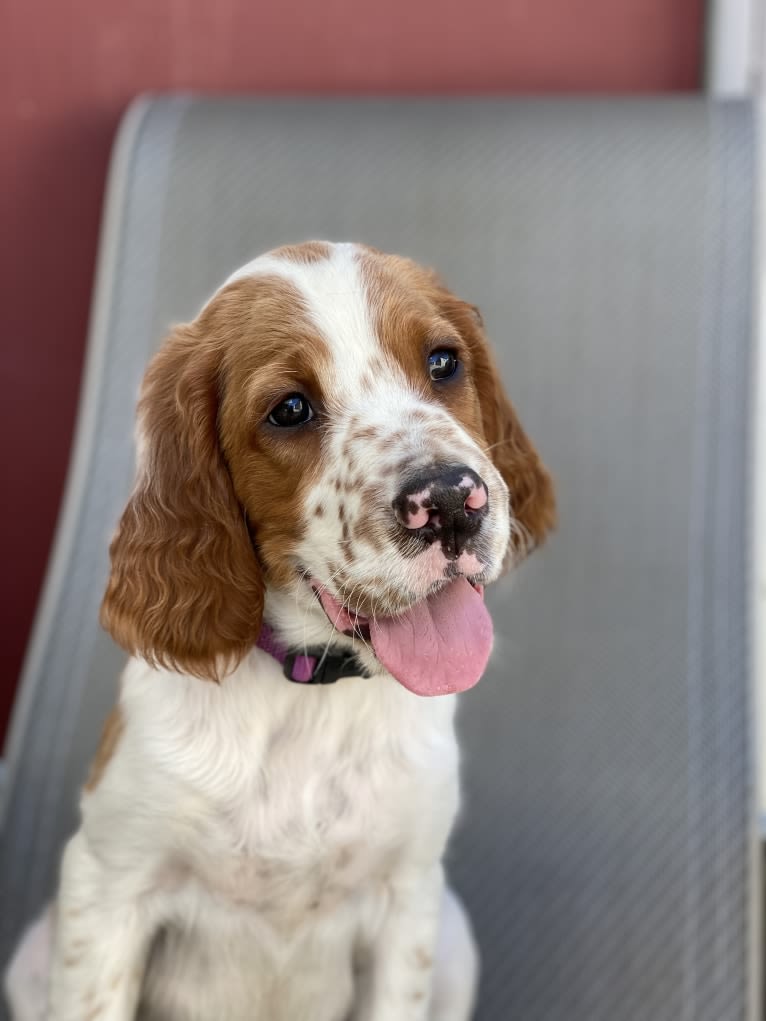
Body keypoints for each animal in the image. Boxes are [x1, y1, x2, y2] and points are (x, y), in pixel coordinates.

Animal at [7, 240, 559, 1021]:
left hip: (452, 937)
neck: (307, 697)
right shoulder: (108, 883)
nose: (453, 501)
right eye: (290, 409)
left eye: (444, 362)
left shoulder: (408, 899)